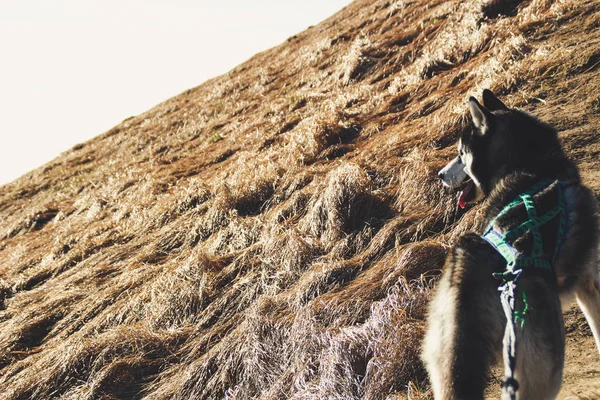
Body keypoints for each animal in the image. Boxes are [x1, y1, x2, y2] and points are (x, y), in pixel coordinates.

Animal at [422, 90, 600, 400]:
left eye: (460, 153)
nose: (440, 175)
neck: (531, 166)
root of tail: (470, 264)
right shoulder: (588, 280)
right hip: (544, 370)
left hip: (448, 370)